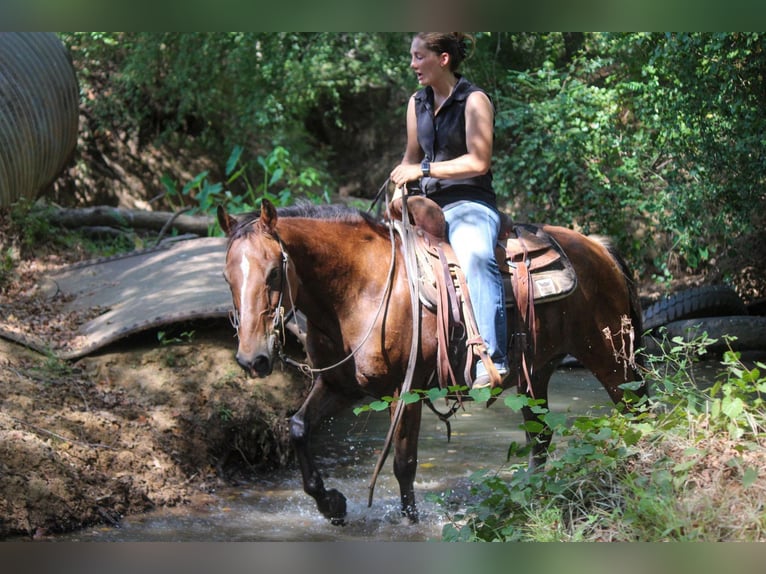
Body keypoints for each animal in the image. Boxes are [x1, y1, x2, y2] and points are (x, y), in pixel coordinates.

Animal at [218, 198, 648, 528]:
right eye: (226, 277)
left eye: (274, 272)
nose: (252, 358)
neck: (359, 289)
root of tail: (597, 247)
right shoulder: (340, 386)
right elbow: (298, 428)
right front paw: (333, 505)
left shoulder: (406, 390)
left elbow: (404, 463)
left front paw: (410, 522)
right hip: (536, 372)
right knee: (539, 438)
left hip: (611, 358)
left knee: (636, 410)